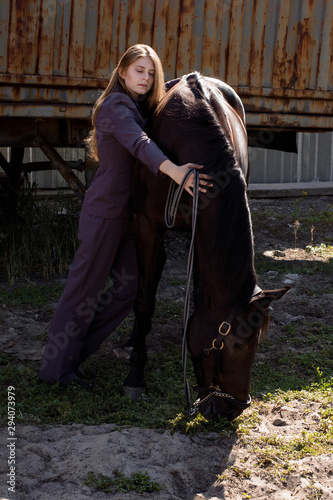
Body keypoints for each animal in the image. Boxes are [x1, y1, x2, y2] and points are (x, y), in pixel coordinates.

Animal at [122, 72, 288, 420]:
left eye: (258, 344)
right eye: (238, 344)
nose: (233, 409)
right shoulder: (146, 225)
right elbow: (144, 299)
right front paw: (135, 375)